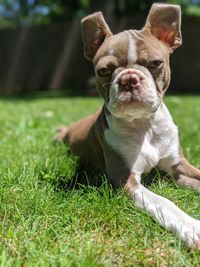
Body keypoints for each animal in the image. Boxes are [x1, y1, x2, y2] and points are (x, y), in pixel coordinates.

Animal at [55, 3, 200, 249]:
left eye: (155, 64)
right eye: (103, 71)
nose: (128, 79)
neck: (144, 125)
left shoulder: (179, 166)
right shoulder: (126, 179)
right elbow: (163, 202)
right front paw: (191, 227)